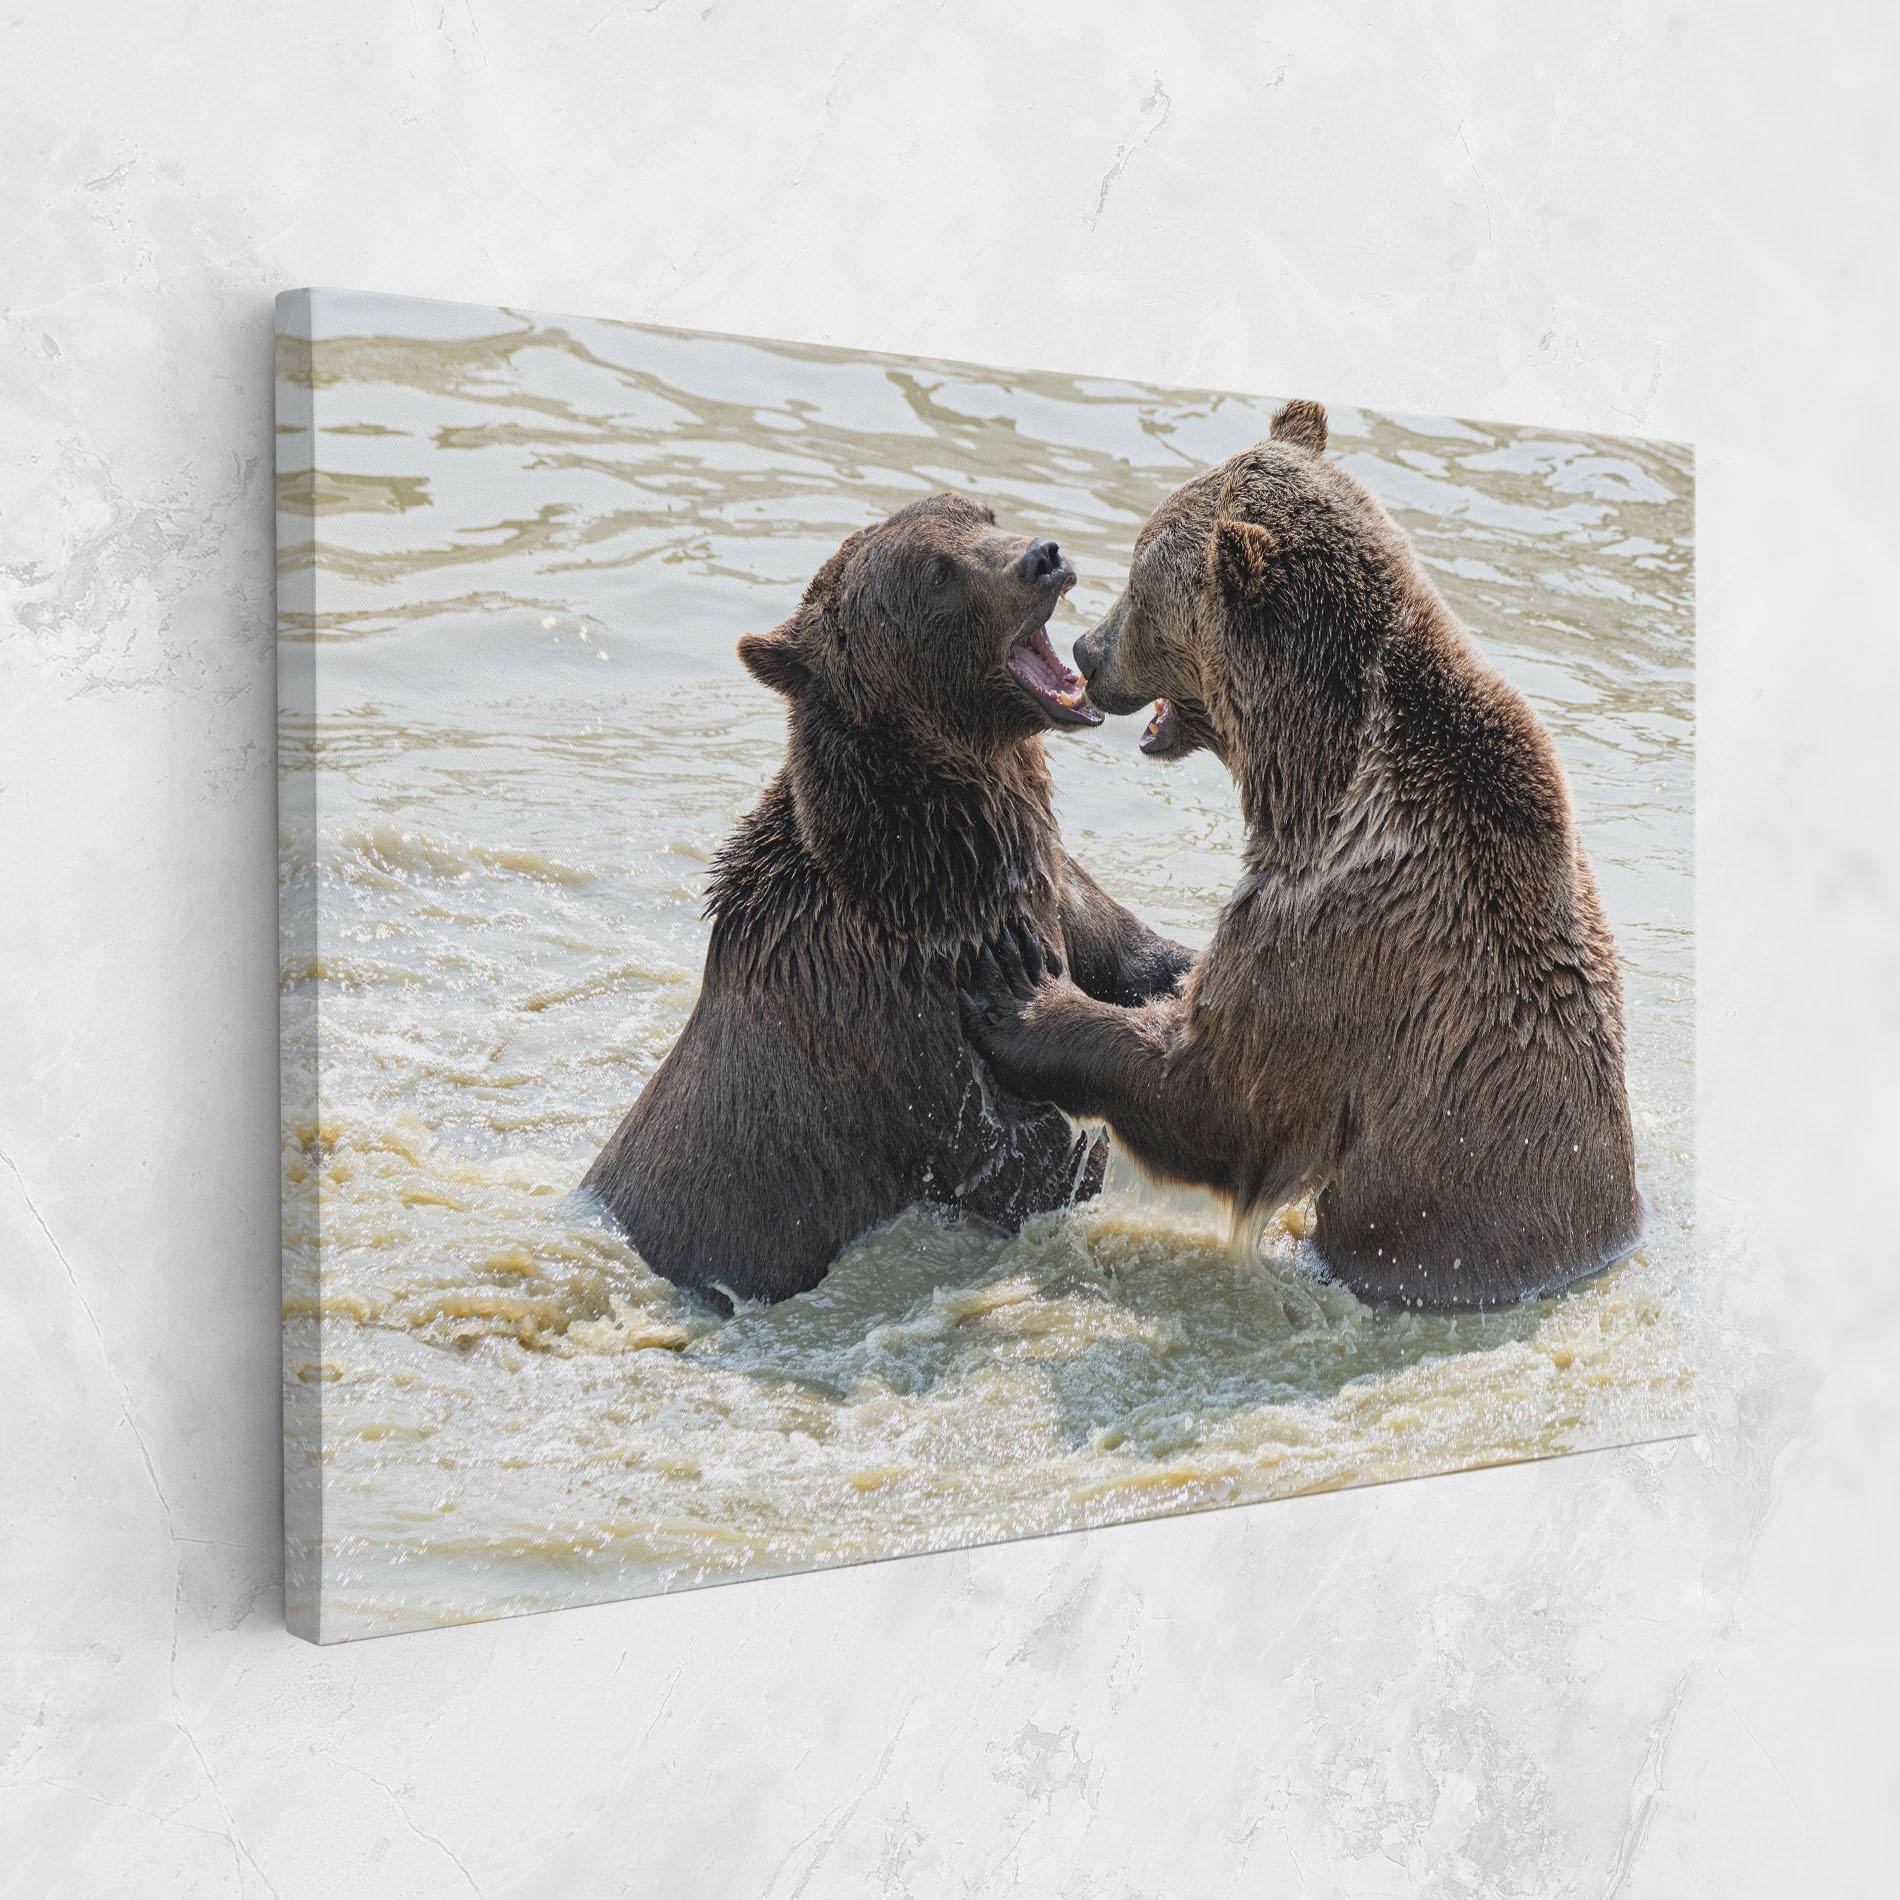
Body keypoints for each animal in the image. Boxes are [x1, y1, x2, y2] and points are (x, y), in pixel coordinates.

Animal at [583, 493, 1193, 1310]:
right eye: (937, 572)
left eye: (980, 512)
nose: (1043, 556)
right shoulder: (908, 1036)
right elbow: (1035, 1160)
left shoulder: (1055, 888)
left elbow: (1143, 957)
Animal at [960, 400, 1643, 1310]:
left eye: (1141, 582)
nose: (1086, 652)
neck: (1314, 774)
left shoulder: (1343, 931)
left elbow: (1216, 1089)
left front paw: (1023, 997)